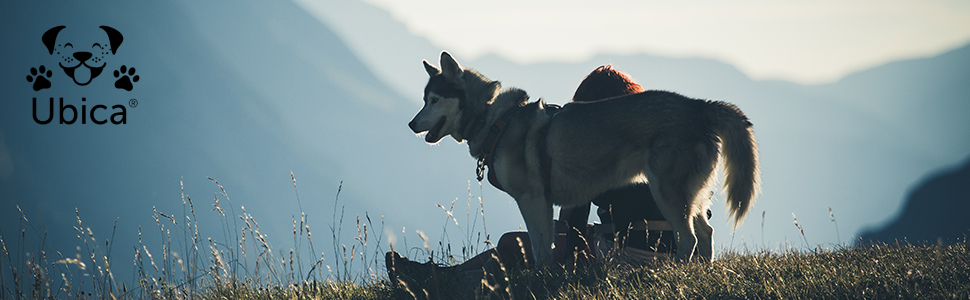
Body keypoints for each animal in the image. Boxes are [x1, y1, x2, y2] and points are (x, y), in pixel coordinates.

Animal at [408, 52, 756, 264]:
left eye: (434, 100)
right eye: (424, 100)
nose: (411, 124)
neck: (494, 120)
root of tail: (700, 106)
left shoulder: (532, 198)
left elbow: (541, 251)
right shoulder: (550, 203)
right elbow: (547, 246)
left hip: (668, 194)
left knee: (689, 239)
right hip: (689, 196)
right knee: (705, 234)